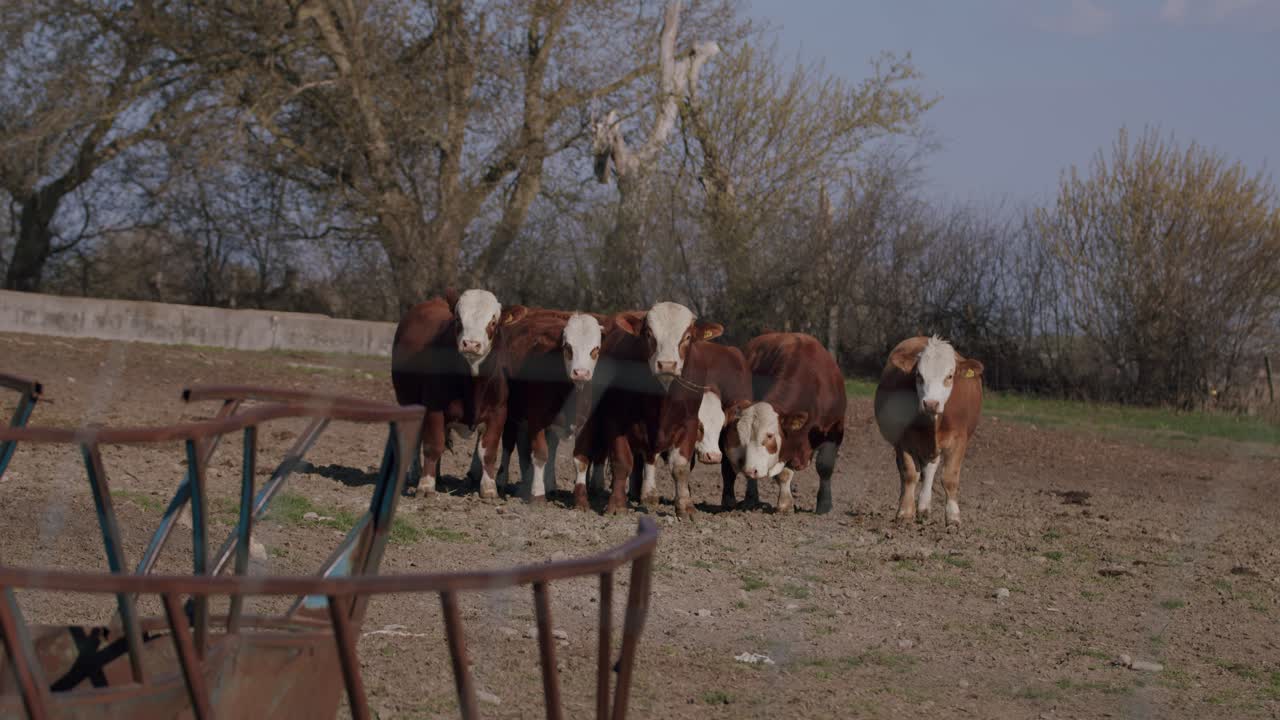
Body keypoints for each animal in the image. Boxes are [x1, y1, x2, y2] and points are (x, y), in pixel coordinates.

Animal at [571, 301, 727, 515]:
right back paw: (581, 499)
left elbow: (680, 467)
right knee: (582, 457)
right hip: (587, 414)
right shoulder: (615, 420)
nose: (667, 365)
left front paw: (685, 507)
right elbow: (622, 463)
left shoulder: (689, 423)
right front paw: (617, 505)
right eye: (649, 334)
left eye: (687, 337)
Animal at [722, 333, 846, 514]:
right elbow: (783, 474)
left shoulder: (834, 431)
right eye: (741, 437)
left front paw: (824, 506)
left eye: (769, 435)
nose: (751, 470)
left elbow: (825, 466)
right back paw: (742, 500)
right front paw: (785, 504)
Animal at [873, 335, 984, 526]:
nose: (931, 404)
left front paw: (953, 517)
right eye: (919, 375)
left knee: (930, 469)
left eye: (949, 376)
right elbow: (910, 474)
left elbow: (949, 478)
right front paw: (905, 512)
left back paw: (924, 508)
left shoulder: (959, 440)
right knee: (906, 472)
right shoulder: (903, 440)